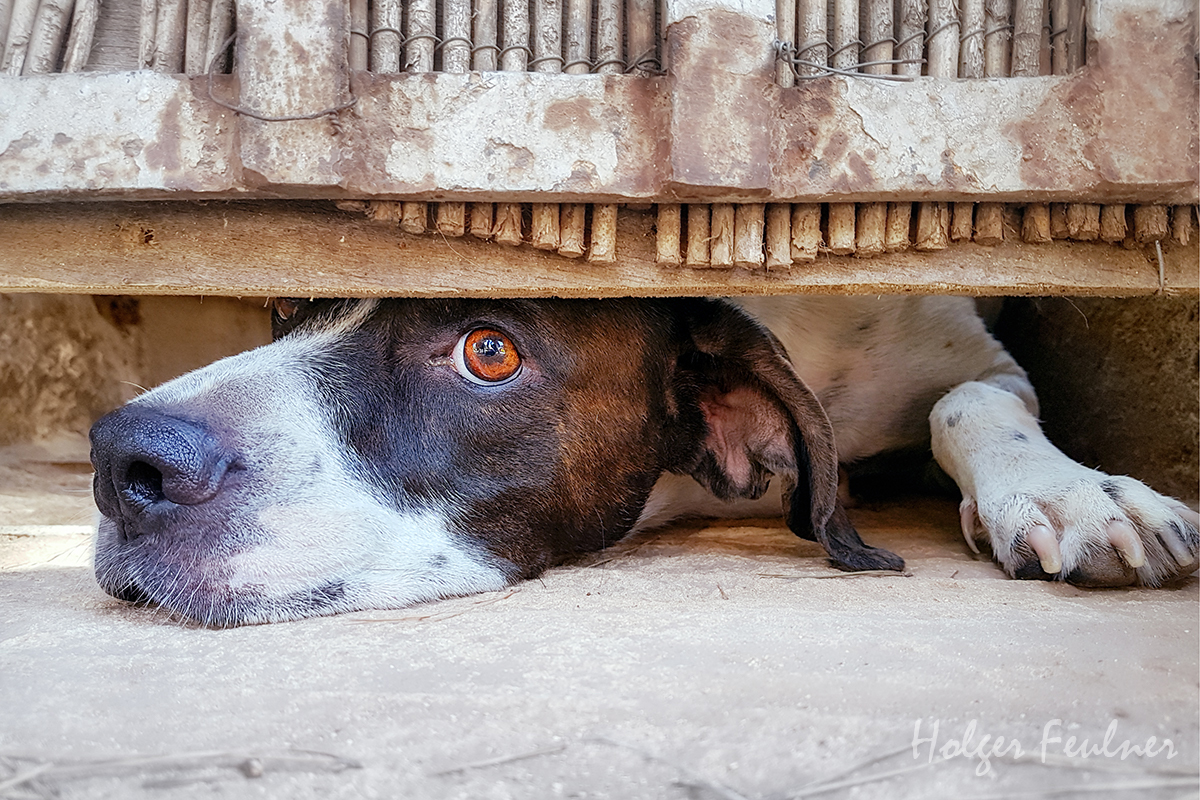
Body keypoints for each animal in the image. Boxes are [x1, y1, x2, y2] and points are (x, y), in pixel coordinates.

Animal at [87, 297, 1200, 628]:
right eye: (287, 306)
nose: (123, 458)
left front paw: (1073, 491)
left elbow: (968, 400)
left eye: (489, 351)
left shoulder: (971, 351)